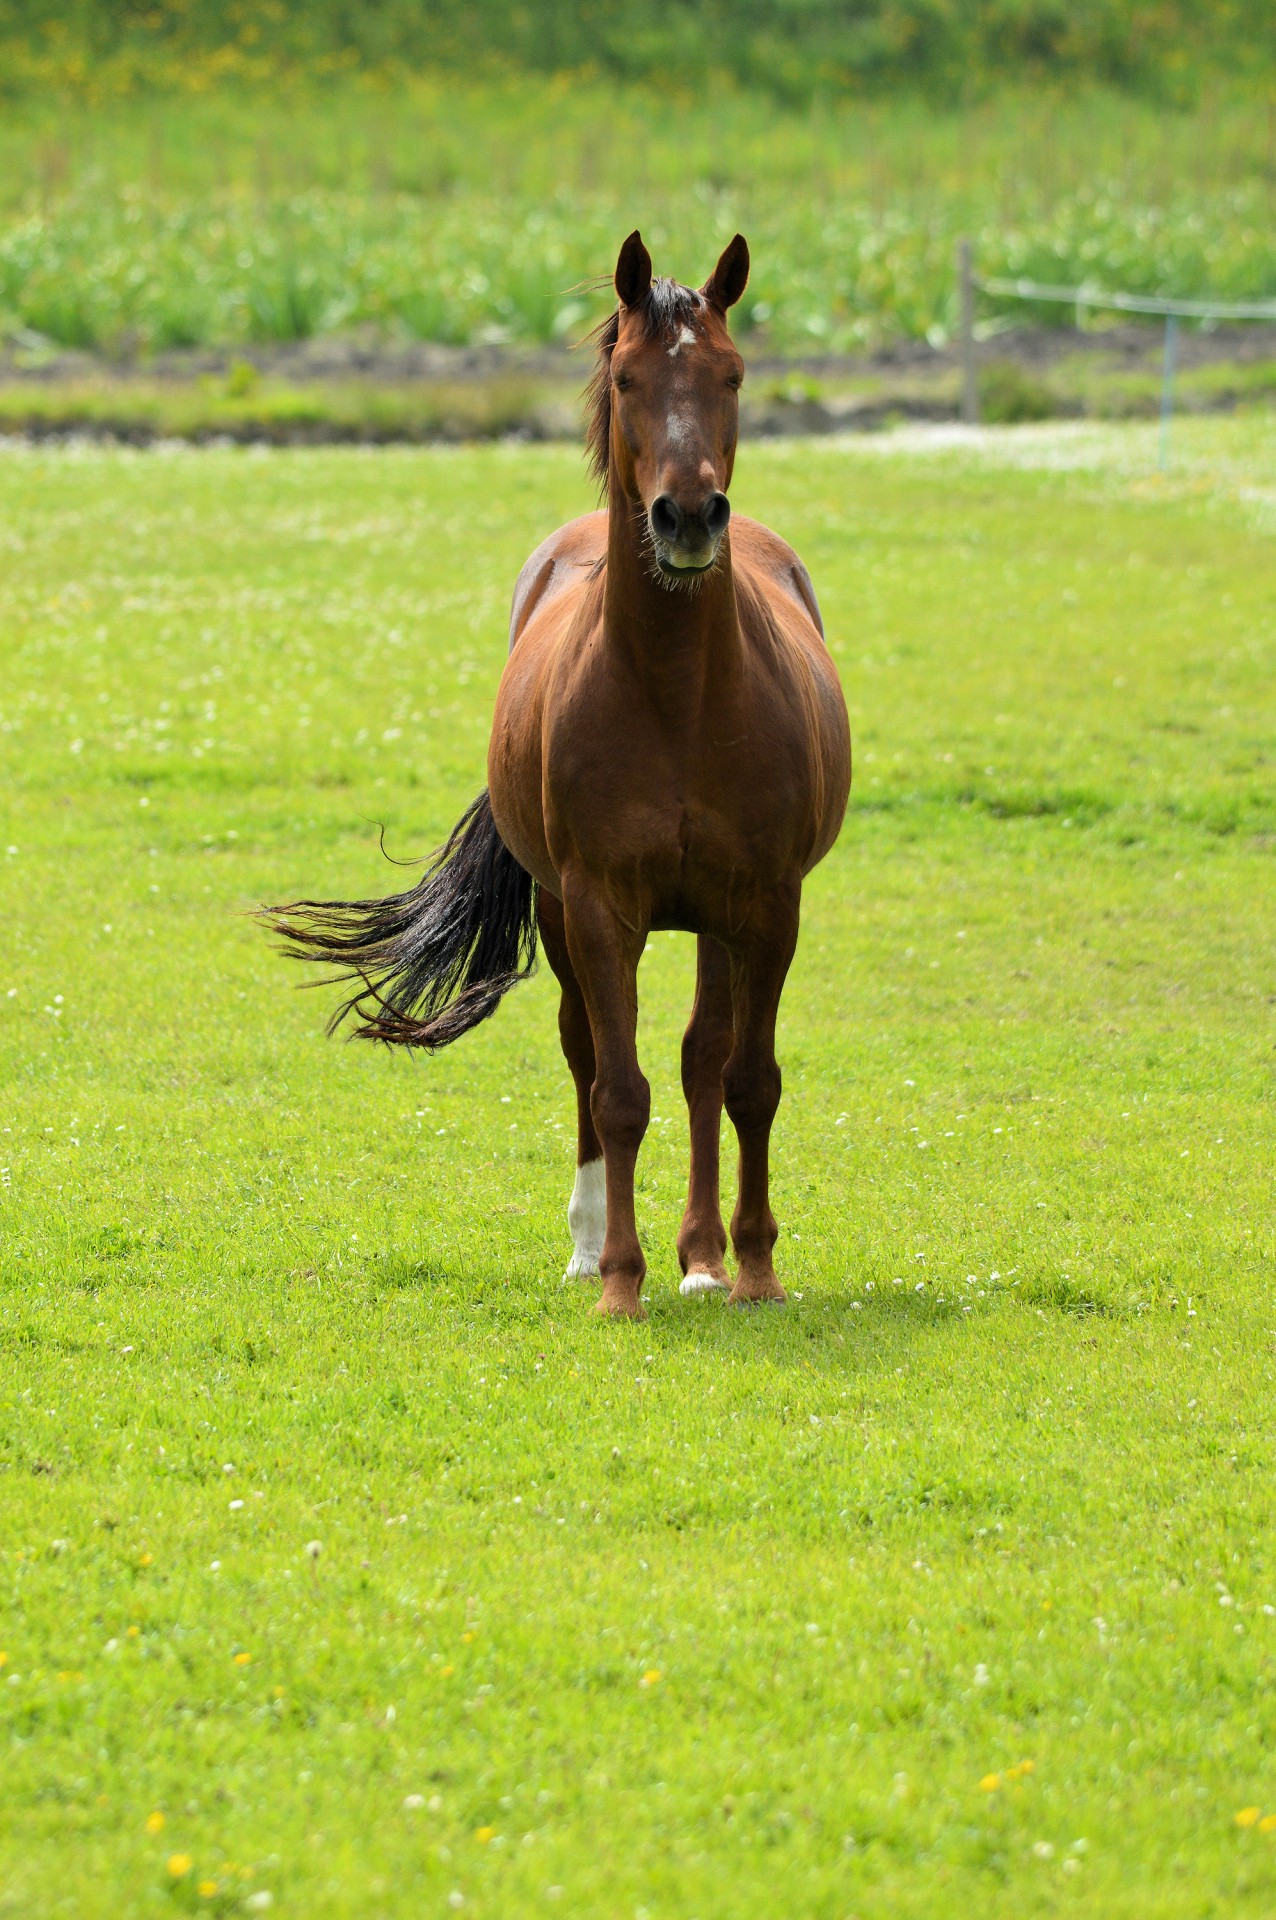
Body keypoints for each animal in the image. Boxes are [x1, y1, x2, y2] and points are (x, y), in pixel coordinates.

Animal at [262, 232, 851, 1313]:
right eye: (626, 379)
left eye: (732, 374)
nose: (688, 516)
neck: (676, 694)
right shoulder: (598, 904)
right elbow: (616, 1090)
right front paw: (619, 1279)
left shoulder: (767, 902)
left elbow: (749, 1080)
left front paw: (752, 1269)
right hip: (560, 906)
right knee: (587, 1052)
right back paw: (590, 1245)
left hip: (714, 919)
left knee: (702, 1060)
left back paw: (701, 1256)